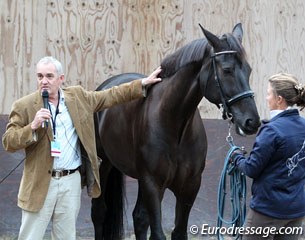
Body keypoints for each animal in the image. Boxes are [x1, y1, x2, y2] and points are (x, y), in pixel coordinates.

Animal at [92, 23, 258, 240]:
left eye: (248, 70)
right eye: (227, 70)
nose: (252, 121)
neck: (174, 125)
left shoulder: (189, 187)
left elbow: (178, 231)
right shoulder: (153, 185)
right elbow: (157, 233)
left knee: (139, 218)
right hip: (103, 166)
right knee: (99, 211)